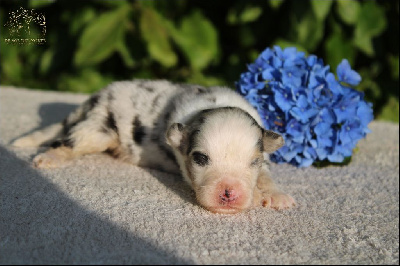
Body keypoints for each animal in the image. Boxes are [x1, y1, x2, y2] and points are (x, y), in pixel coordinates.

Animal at [12, 79, 296, 214]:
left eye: (253, 162)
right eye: (200, 159)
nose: (229, 193)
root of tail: (96, 97)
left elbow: (266, 176)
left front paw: (274, 194)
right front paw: (259, 195)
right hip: (98, 129)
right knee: (71, 139)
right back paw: (51, 157)